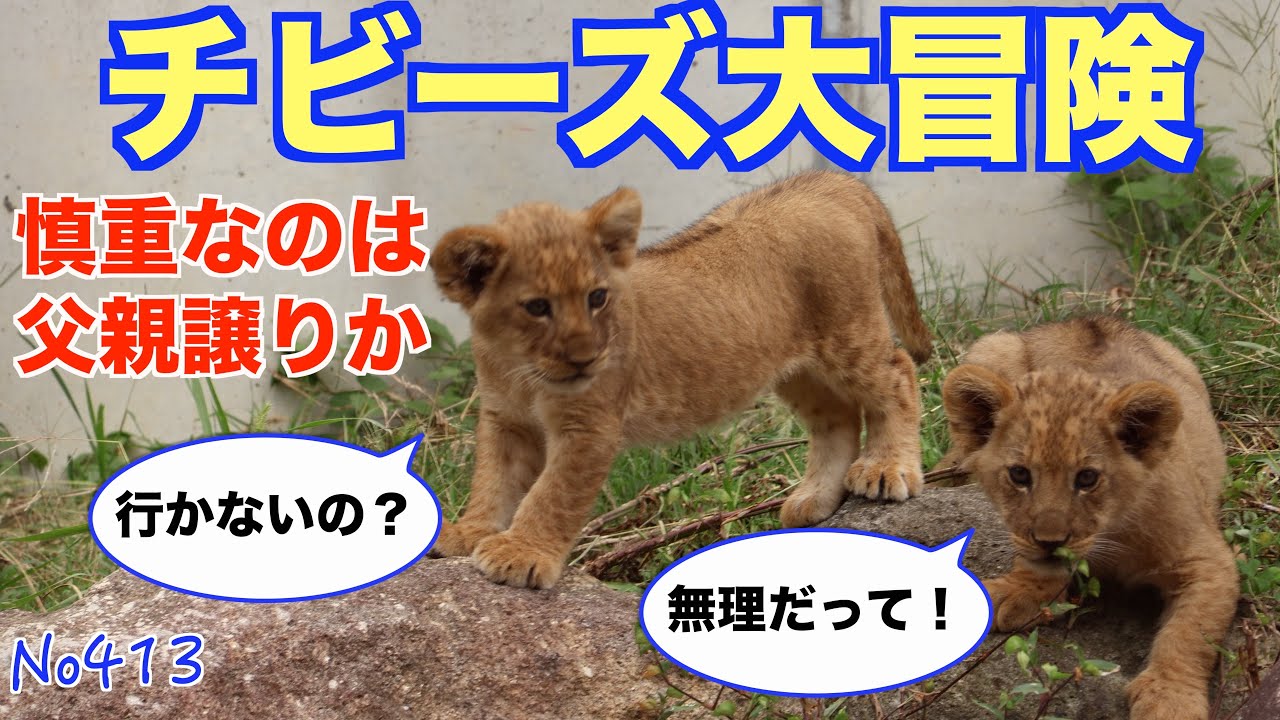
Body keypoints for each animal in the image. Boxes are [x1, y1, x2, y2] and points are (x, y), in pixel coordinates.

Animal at [427, 171, 932, 589]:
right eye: (537, 307)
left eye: (597, 297)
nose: (588, 360)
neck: (524, 370)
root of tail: (827, 182)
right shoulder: (506, 418)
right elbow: (493, 482)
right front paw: (469, 533)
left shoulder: (589, 427)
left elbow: (552, 494)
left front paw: (520, 553)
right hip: (794, 368)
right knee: (838, 417)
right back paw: (814, 499)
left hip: (848, 333)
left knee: (899, 373)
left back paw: (887, 469)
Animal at [940, 316, 1238, 720]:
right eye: (1019, 475)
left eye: (1087, 478)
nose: (1049, 542)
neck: (1115, 533)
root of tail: (1090, 319)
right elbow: (1037, 569)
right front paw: (1014, 590)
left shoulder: (1210, 561)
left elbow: (1191, 632)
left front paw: (1170, 699)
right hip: (992, 347)